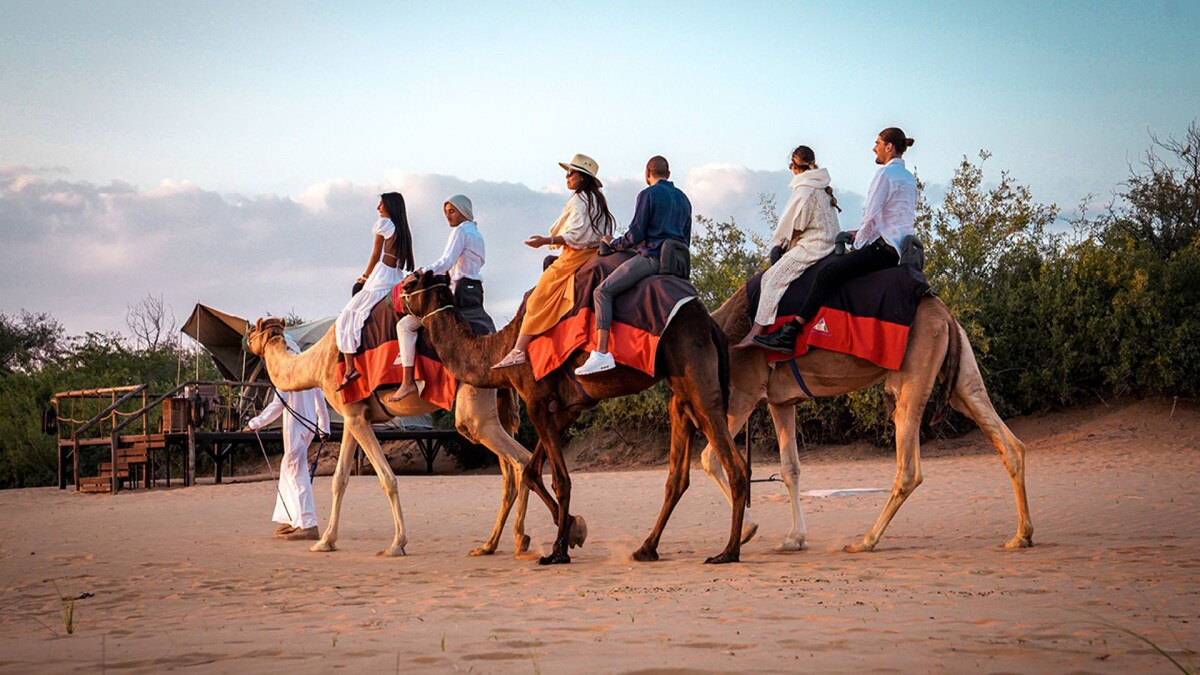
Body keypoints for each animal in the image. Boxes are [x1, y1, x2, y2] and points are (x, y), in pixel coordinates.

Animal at [246, 317, 532, 554]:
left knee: (520, 459)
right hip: (497, 406)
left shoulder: (356, 417)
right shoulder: (353, 416)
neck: (318, 363)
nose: (246, 340)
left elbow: (387, 478)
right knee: (508, 474)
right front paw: (325, 541)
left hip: (474, 407)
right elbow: (339, 479)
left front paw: (397, 544)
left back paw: (520, 539)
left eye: (252, 330)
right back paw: (491, 545)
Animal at [403, 269, 748, 562]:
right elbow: (532, 471)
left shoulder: (536, 400)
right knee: (678, 475)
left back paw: (728, 552)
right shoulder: (569, 406)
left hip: (696, 377)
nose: (399, 301)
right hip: (680, 393)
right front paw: (573, 530)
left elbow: (560, 478)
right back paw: (646, 548)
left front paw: (558, 550)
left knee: (735, 465)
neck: (501, 350)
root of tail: (709, 323)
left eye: (409, 283)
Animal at [700, 283, 1032, 552]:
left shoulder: (744, 394)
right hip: (960, 376)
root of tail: (944, 313)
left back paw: (865, 541)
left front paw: (748, 531)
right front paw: (794, 538)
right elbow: (789, 468)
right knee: (1007, 441)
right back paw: (1020, 536)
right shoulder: (780, 400)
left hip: (912, 373)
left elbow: (712, 459)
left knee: (909, 468)